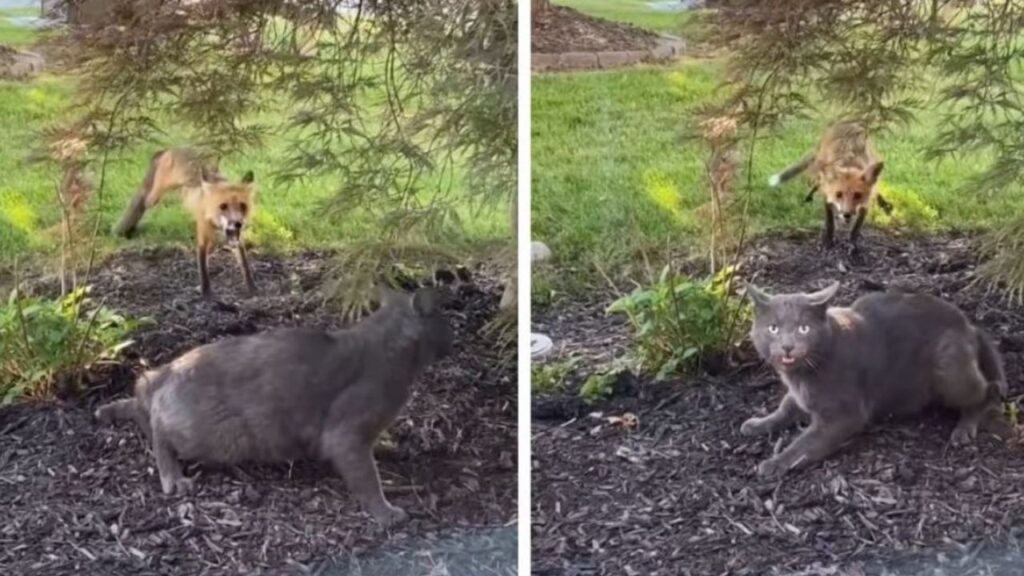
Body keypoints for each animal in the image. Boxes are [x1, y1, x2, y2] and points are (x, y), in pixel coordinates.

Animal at [97, 284, 454, 522]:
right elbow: (368, 478)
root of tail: (169, 369)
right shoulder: (345, 434)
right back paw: (173, 477)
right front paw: (386, 512)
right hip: (218, 436)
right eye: (445, 322)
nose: (454, 337)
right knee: (158, 431)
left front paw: (388, 448)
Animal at [113, 147, 258, 295]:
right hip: (156, 195)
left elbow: (244, 264)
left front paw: (252, 288)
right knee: (145, 200)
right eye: (223, 206)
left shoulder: (235, 238)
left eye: (243, 206)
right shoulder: (202, 235)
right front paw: (206, 293)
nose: (238, 223)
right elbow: (203, 267)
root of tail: (171, 149)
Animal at [741, 280, 1003, 475]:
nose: (787, 347)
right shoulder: (799, 394)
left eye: (803, 329)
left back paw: (964, 428)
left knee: (988, 390)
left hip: (948, 368)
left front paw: (775, 463)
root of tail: (970, 326)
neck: (802, 376)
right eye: (773, 328)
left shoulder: (845, 415)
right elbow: (785, 407)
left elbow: (805, 444)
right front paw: (757, 424)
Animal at [770, 121, 888, 250]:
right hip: (821, 172)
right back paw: (809, 197)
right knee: (817, 183)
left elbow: (856, 228)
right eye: (839, 194)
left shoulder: (865, 203)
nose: (847, 215)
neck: (848, 163)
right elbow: (830, 223)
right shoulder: (827, 196)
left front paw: (852, 243)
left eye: (858, 195)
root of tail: (846, 123)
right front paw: (828, 241)